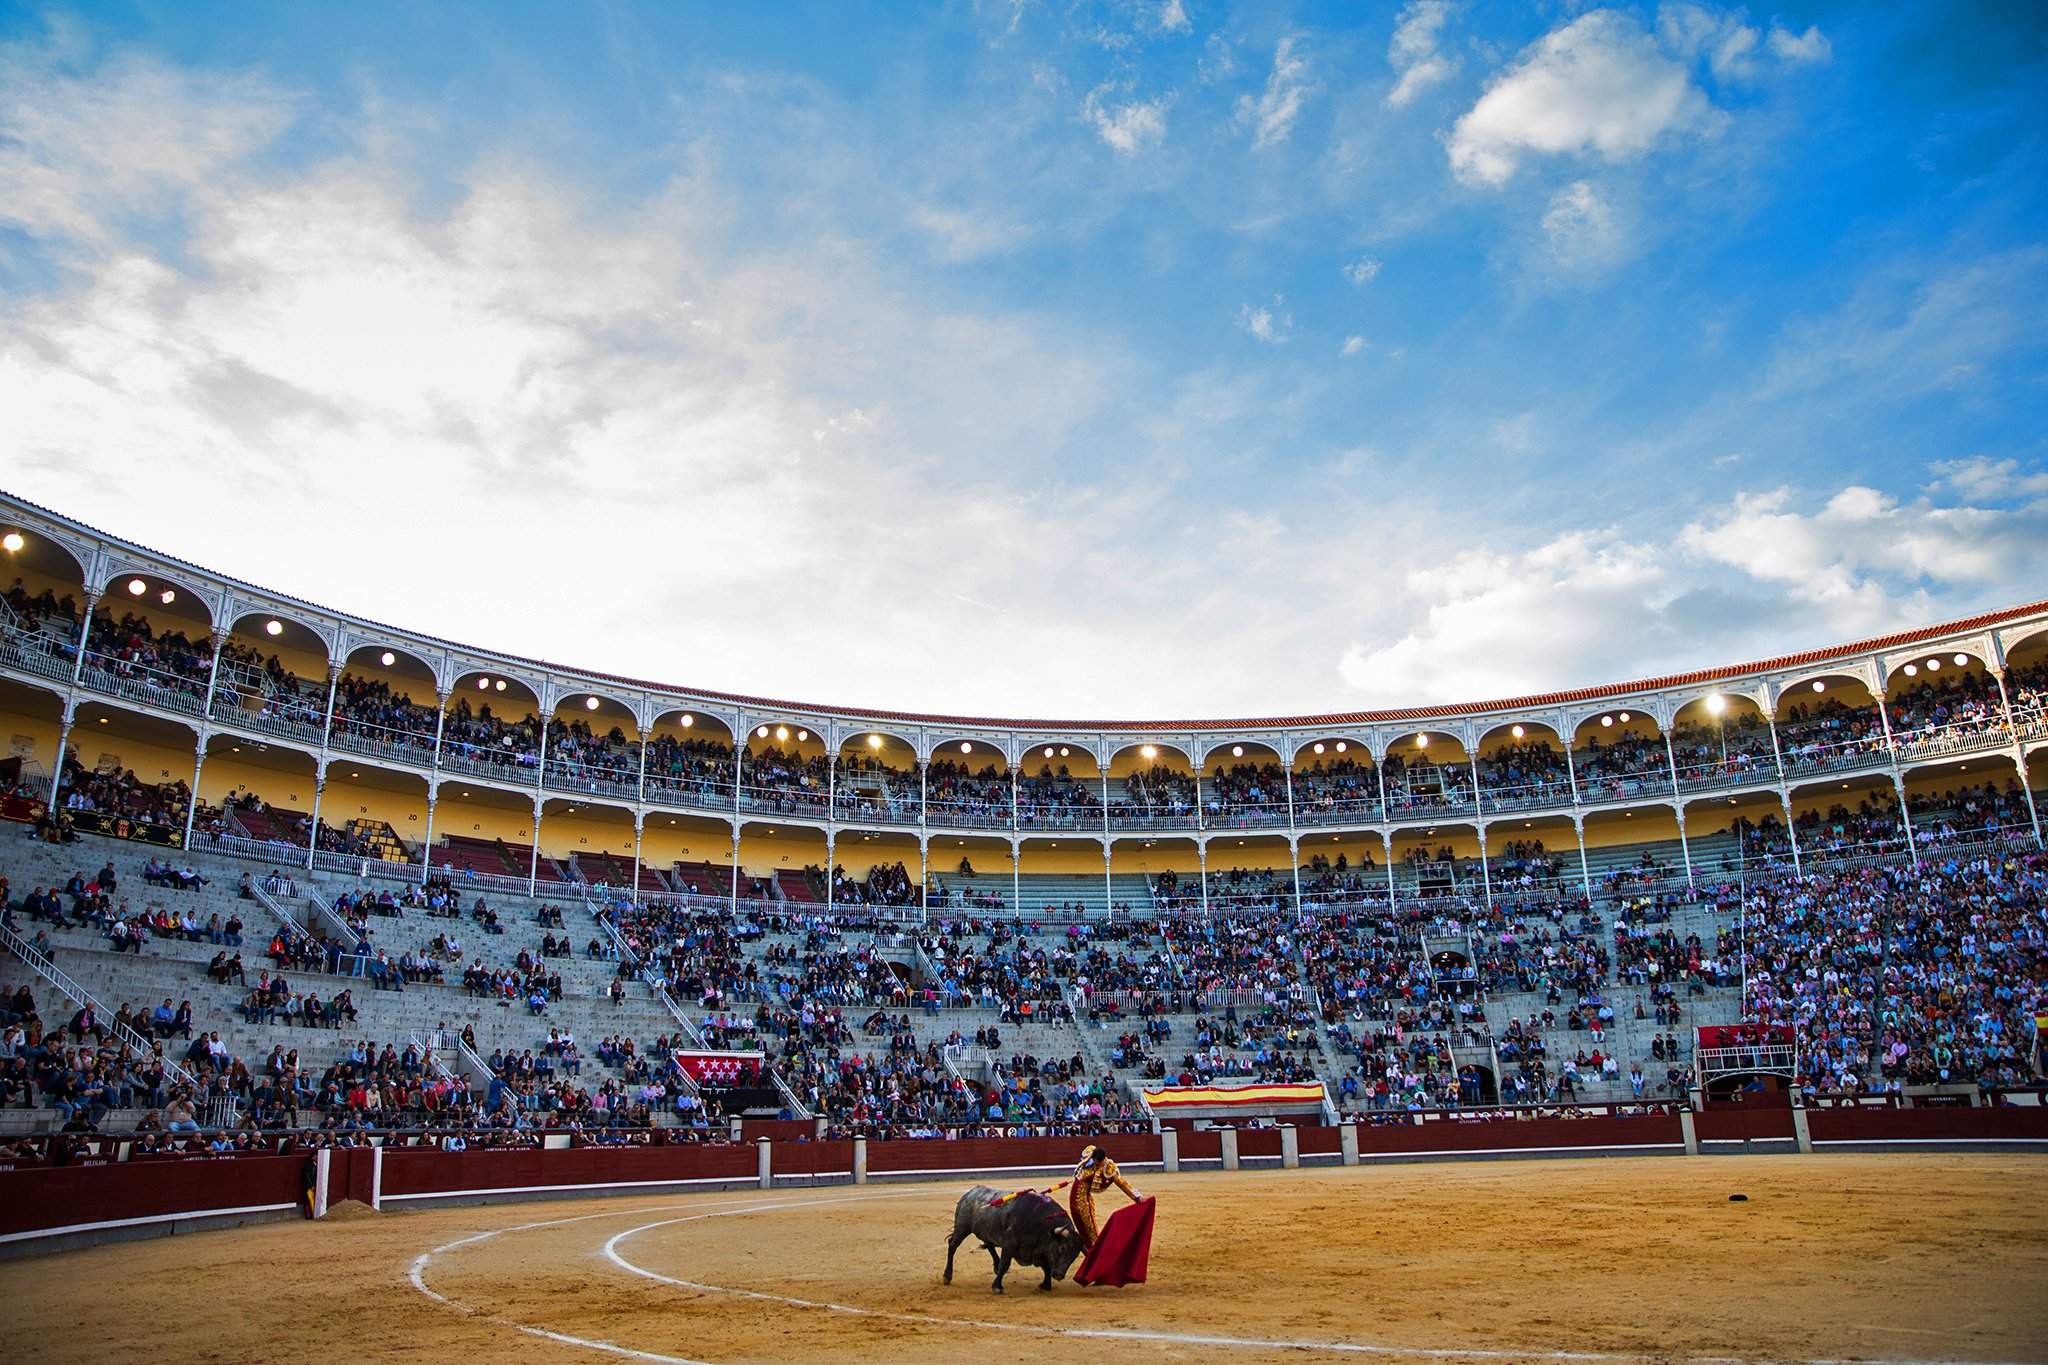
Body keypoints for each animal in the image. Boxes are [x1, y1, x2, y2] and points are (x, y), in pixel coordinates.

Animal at [942, 1186, 1089, 1293]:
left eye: (1075, 1255)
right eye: (1062, 1248)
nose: (1059, 1275)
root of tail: (969, 1193)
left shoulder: (1039, 1250)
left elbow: (1046, 1267)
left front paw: (1045, 1285)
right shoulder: (1010, 1244)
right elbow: (1005, 1264)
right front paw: (997, 1287)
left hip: (985, 1229)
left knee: (989, 1244)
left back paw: (995, 1265)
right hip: (962, 1228)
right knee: (953, 1245)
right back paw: (947, 1277)